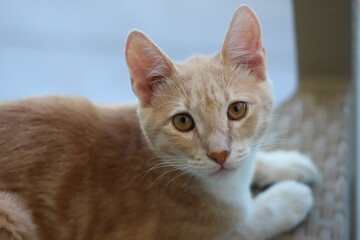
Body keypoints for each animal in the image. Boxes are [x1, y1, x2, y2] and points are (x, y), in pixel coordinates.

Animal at [0, 5, 318, 240]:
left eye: (237, 110)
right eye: (183, 121)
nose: (219, 154)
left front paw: (285, 163)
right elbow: (239, 228)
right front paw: (286, 199)